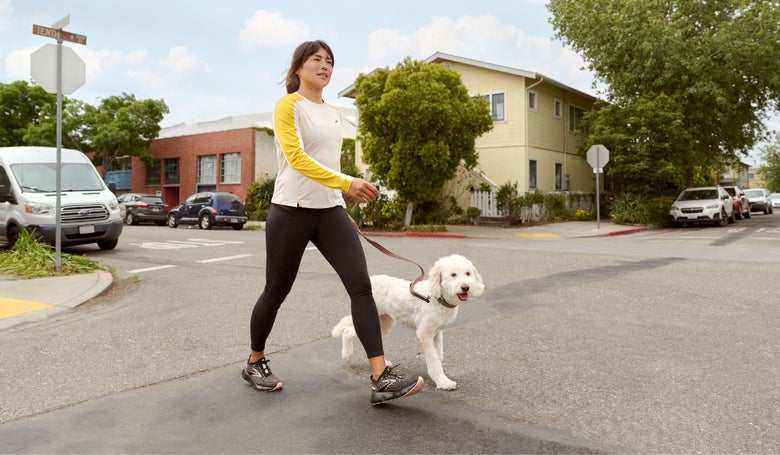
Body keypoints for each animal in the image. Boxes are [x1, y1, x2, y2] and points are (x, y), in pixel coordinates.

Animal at [330, 255, 488, 390]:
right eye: (453, 275)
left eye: (468, 274)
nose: (465, 287)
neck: (436, 297)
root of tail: (371, 280)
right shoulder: (425, 334)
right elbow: (434, 360)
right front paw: (443, 381)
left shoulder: (437, 333)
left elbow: (438, 355)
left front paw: (431, 367)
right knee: (347, 332)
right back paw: (347, 355)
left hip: (383, 323)